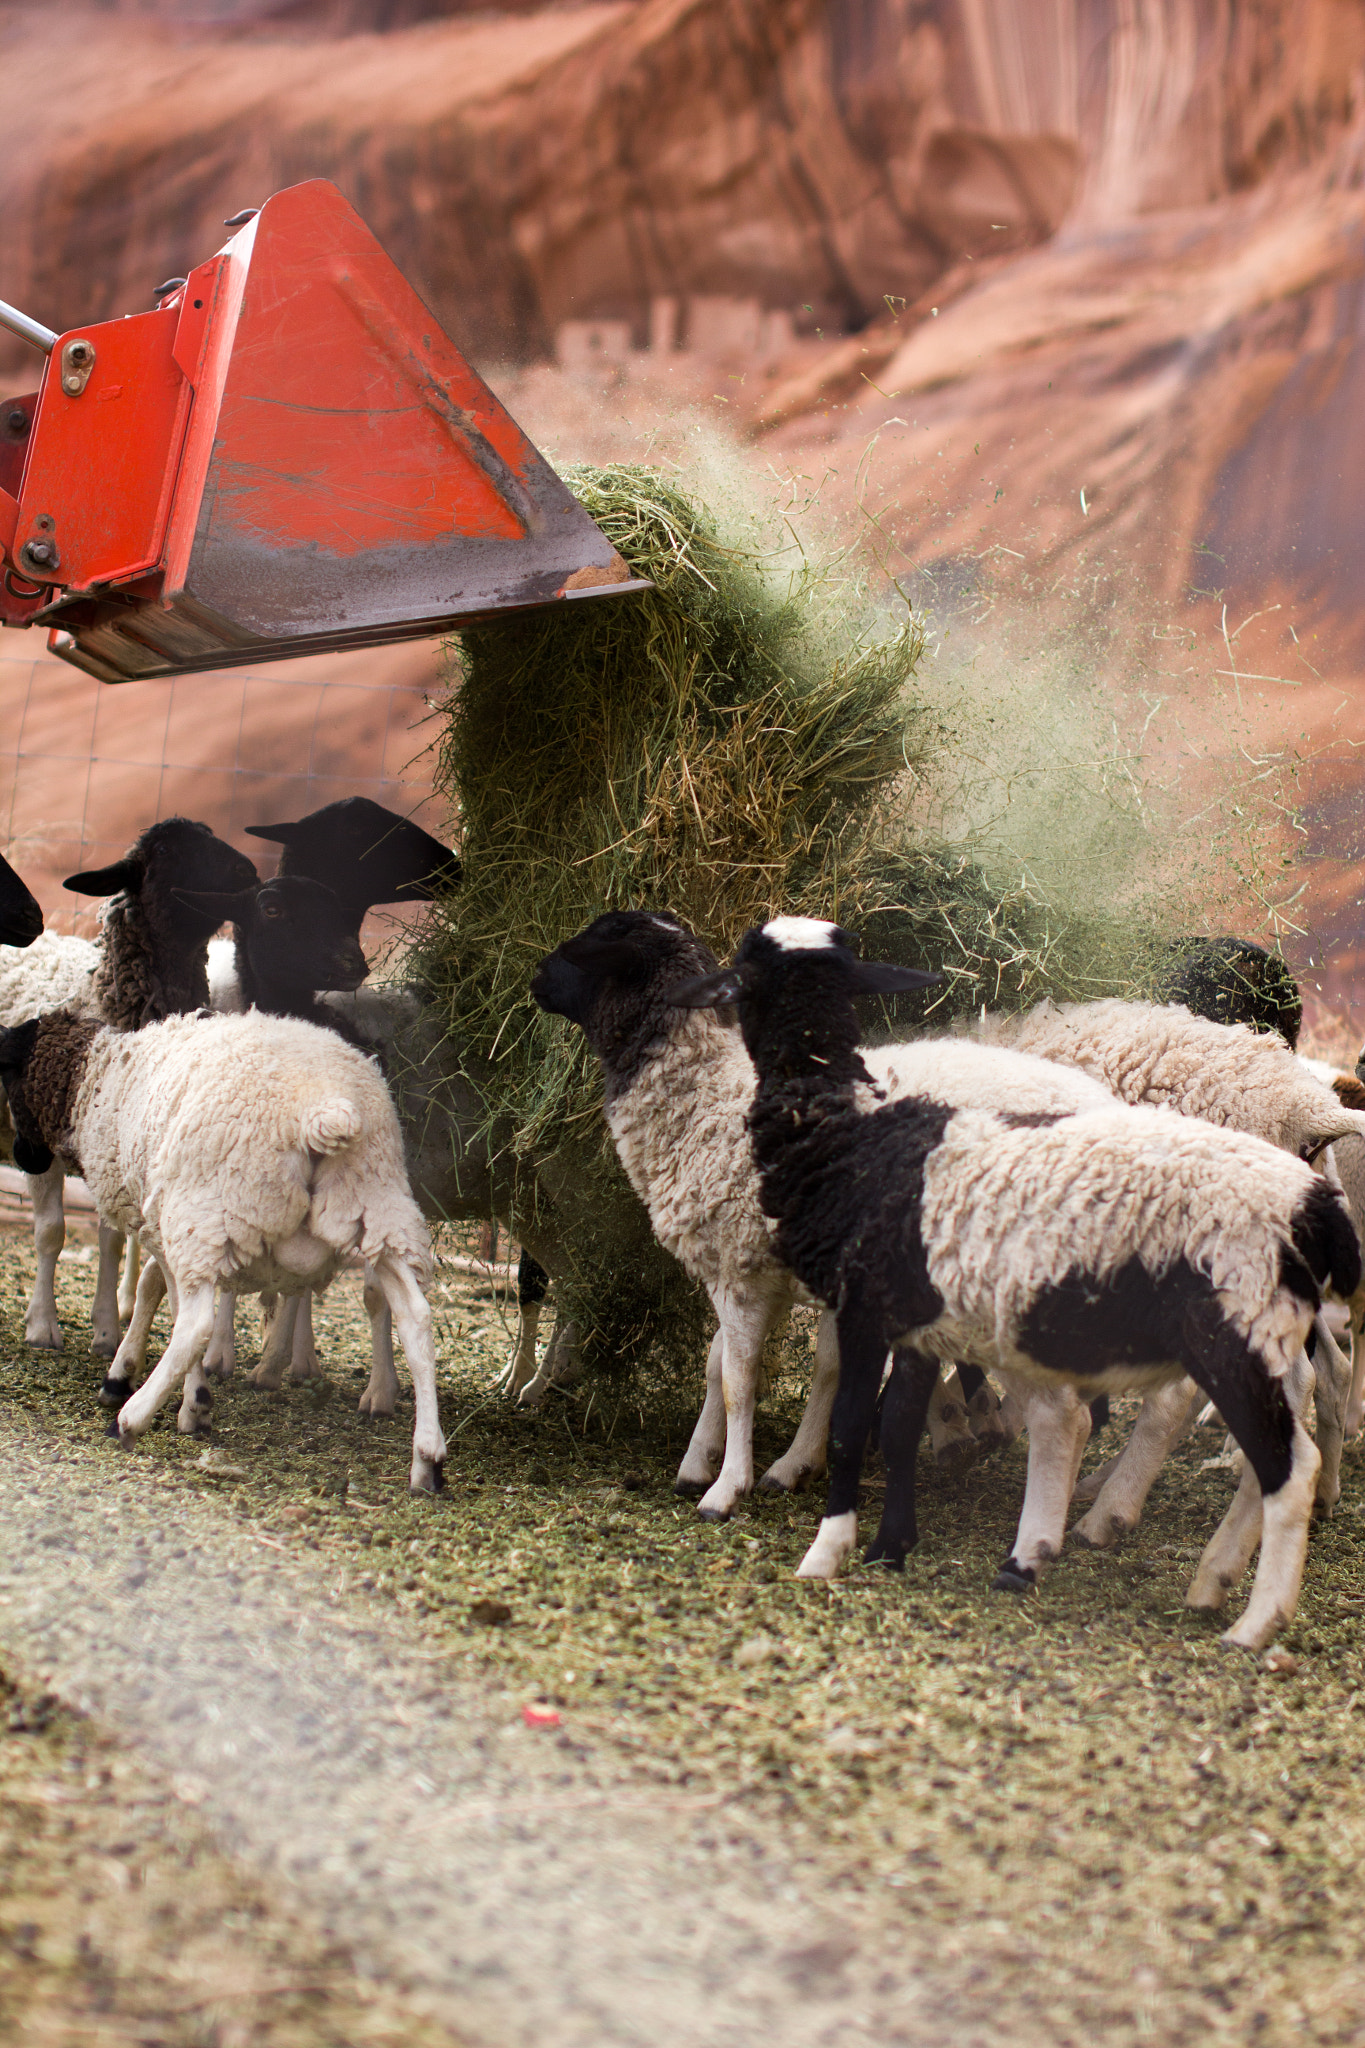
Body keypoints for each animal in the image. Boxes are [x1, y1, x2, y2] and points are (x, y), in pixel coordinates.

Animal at [0, 1008, 446, 1491]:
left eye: (10, 1079)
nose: (23, 1158)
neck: (101, 1084)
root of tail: (324, 1109)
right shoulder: (161, 1226)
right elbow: (154, 1288)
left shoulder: (164, 1224)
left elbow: (169, 1304)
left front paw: (183, 1401)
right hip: (378, 1210)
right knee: (415, 1318)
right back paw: (428, 1460)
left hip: (207, 1213)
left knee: (196, 1325)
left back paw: (130, 1420)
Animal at [531, 911, 1114, 1520]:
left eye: (597, 940)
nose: (536, 977)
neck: (704, 1097)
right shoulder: (768, 1271)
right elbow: (759, 1365)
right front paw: (744, 1465)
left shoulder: (738, 1272)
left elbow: (740, 1379)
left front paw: (726, 1488)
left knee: (1067, 1414)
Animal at [673, 917, 1361, 1651]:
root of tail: (1296, 1103)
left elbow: (767, 1361)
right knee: (1317, 1378)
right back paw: (1289, 1507)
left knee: (1187, 1399)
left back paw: (1110, 1509)